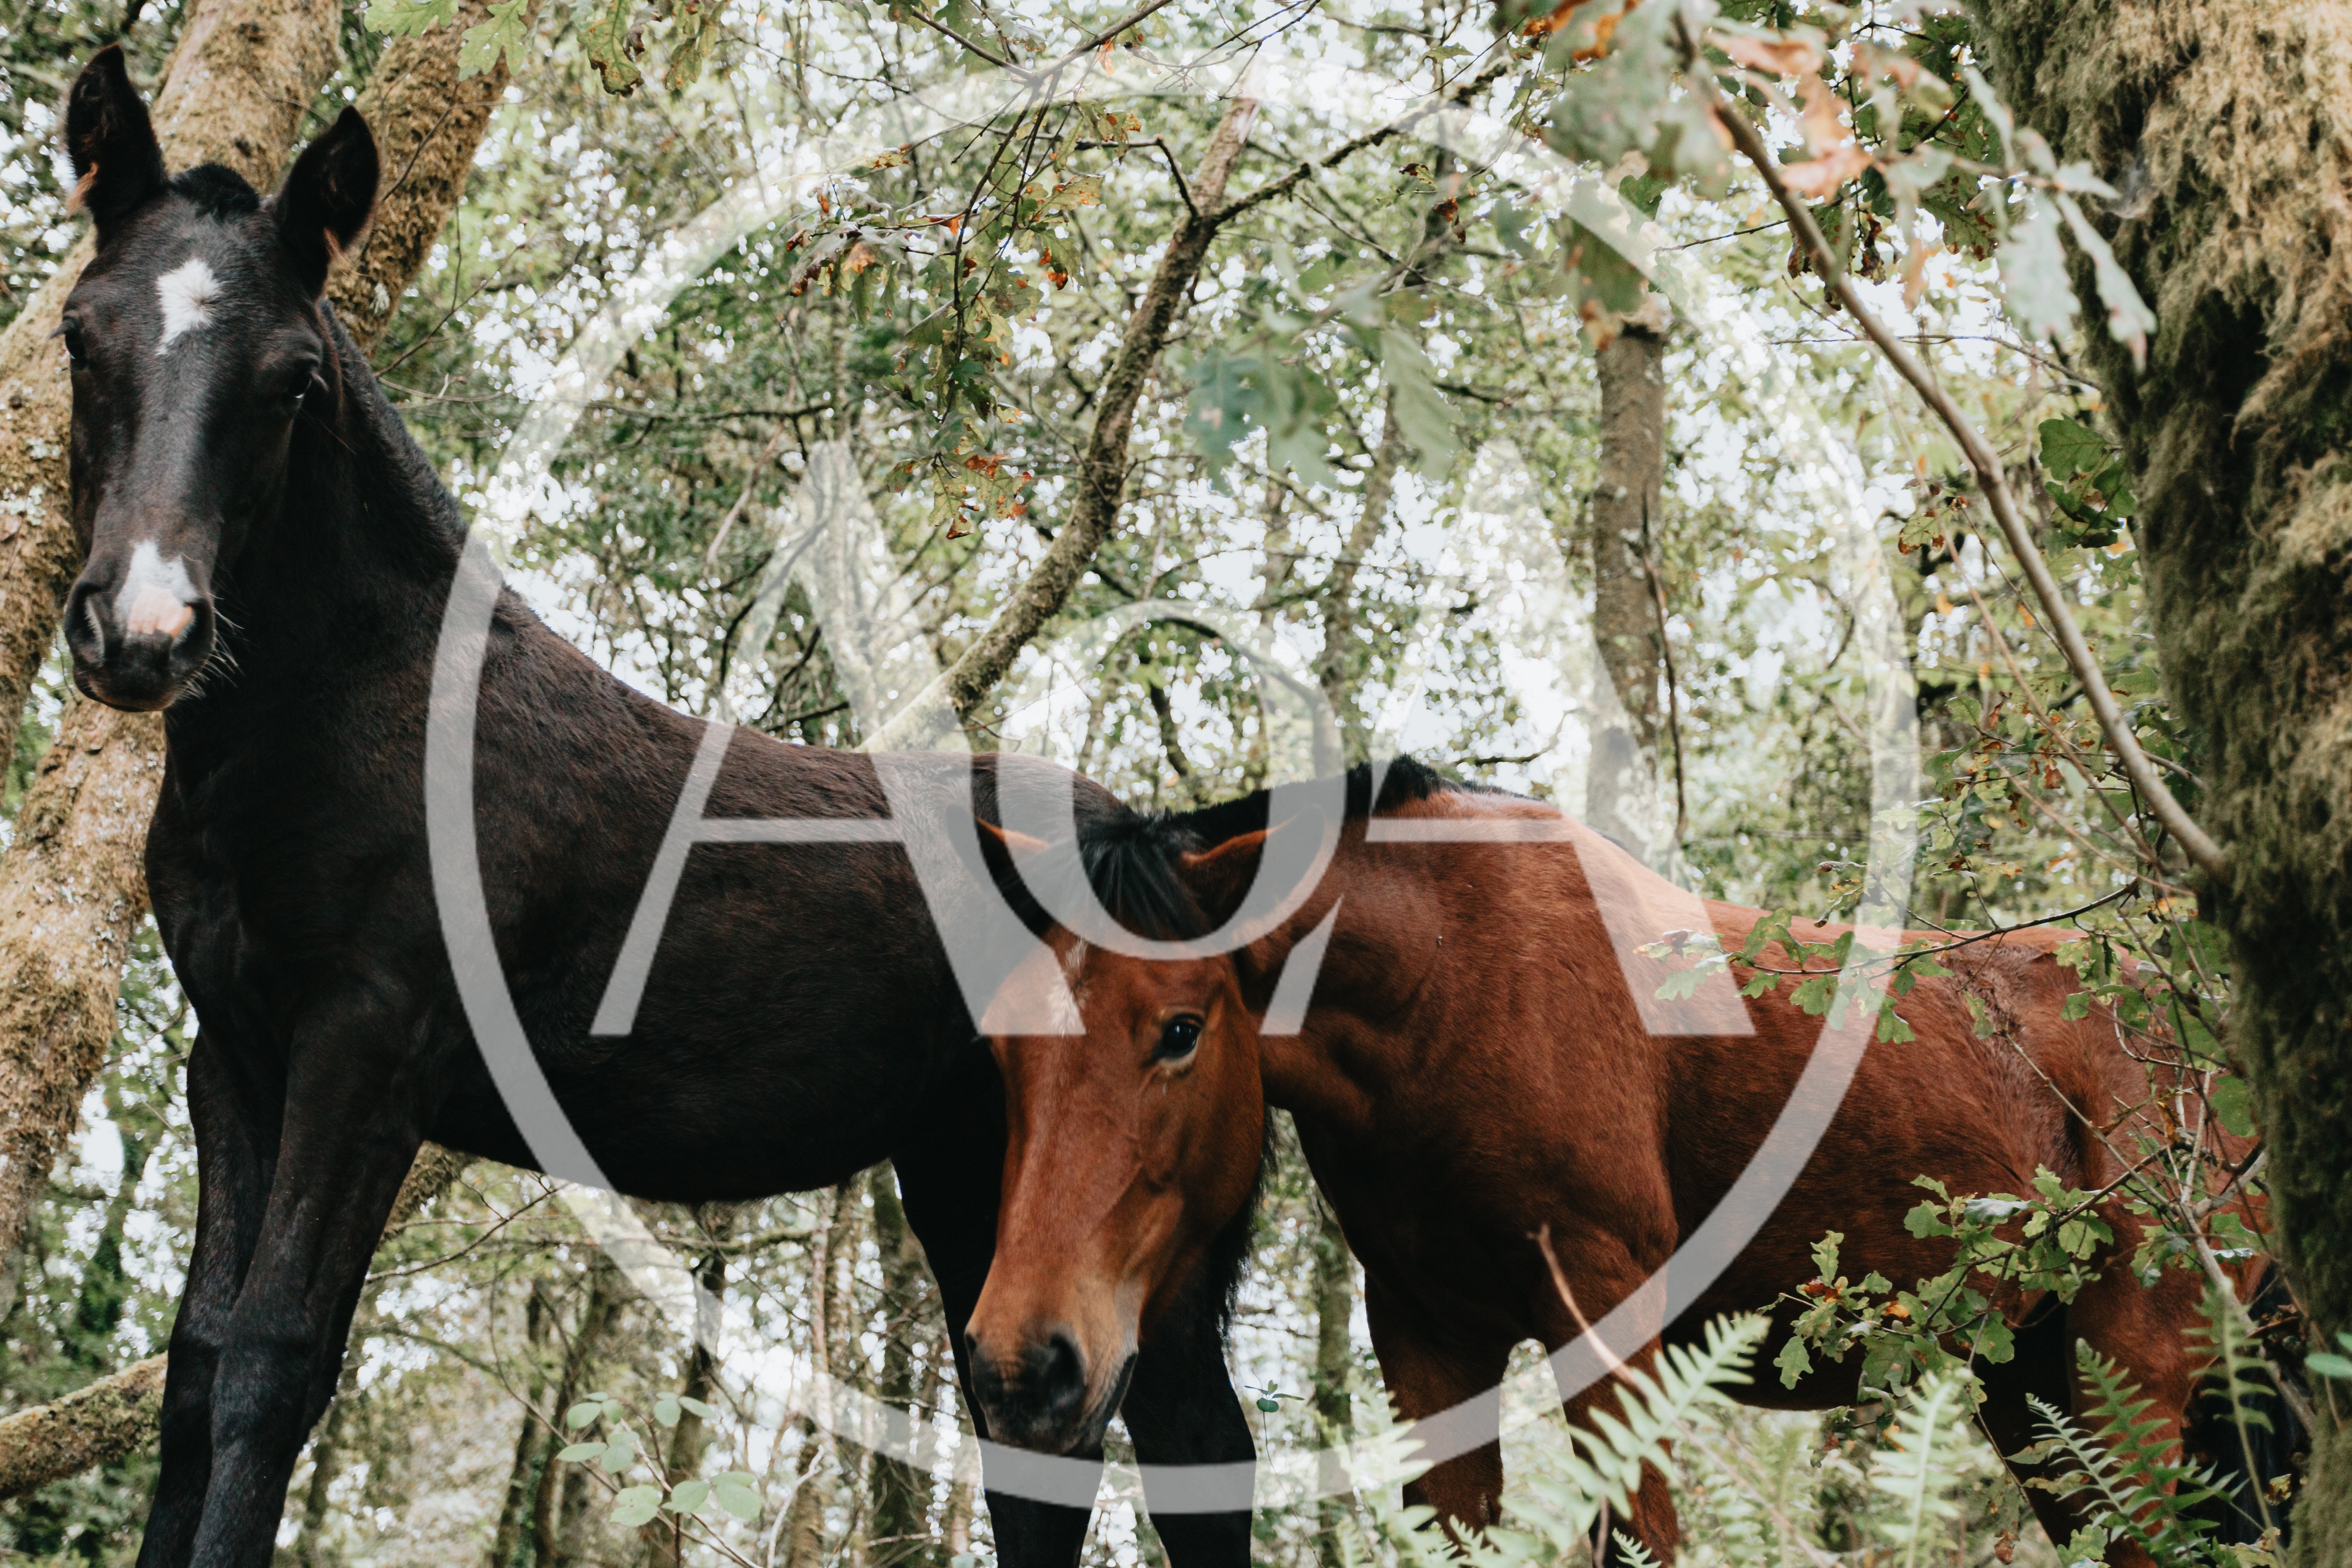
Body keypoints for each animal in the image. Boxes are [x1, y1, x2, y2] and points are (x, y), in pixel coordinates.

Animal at [54, 46, 1255, 1568]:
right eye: (80, 336)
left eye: (291, 382)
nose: (143, 633)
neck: (359, 720)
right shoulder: (238, 1056)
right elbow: (200, 1366)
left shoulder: (370, 1053)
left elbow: (275, 1365)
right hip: (978, 1175)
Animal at [958, 756, 2283, 1565]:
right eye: (1002, 1049)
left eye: (1180, 1030)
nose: (1022, 1362)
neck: (1453, 989)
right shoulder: (1431, 1339)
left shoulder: (1608, 1320)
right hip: (2041, 1392)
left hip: (2135, 1373)